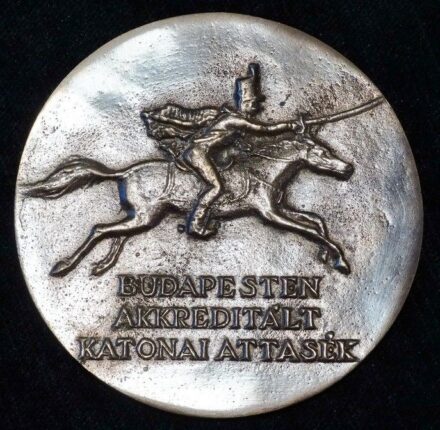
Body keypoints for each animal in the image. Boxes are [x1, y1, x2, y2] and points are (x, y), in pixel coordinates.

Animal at [24, 133, 354, 277]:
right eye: (323, 152)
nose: (347, 168)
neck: (264, 170)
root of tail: (124, 172)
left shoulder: (279, 209)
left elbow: (316, 222)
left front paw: (330, 256)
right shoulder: (270, 214)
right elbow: (311, 230)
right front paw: (340, 260)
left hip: (144, 216)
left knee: (117, 234)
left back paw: (102, 265)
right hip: (145, 216)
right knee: (99, 229)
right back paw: (64, 266)